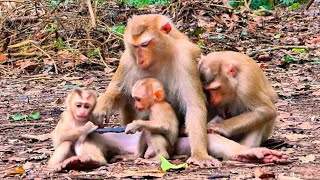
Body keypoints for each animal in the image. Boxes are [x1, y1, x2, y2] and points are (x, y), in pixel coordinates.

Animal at [91, 14, 219, 167]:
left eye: (145, 44)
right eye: (135, 46)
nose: (140, 60)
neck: (159, 57)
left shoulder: (186, 60)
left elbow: (194, 105)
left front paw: (200, 154)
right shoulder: (127, 59)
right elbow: (122, 93)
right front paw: (102, 106)